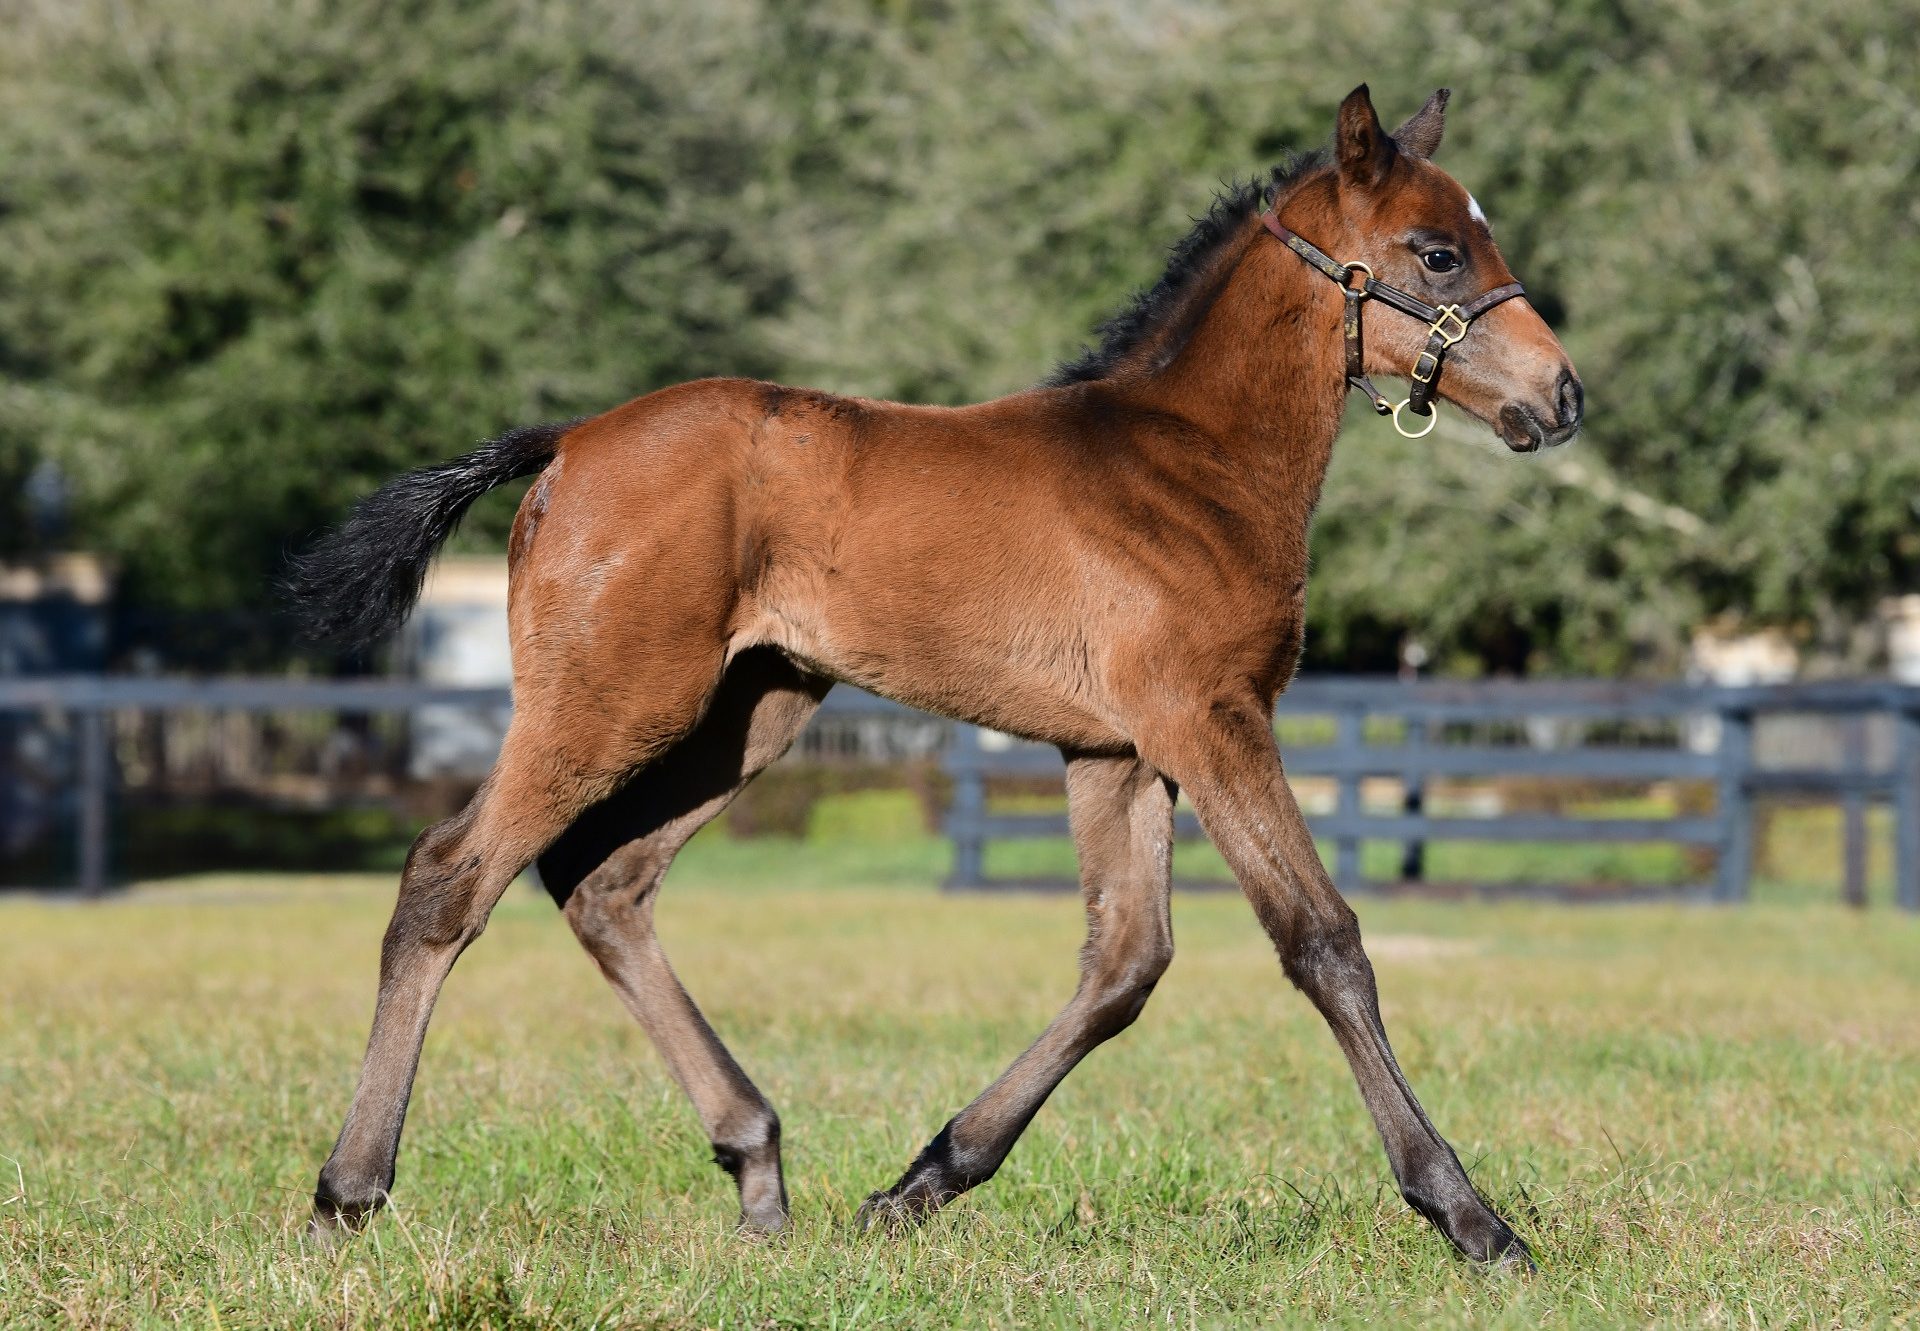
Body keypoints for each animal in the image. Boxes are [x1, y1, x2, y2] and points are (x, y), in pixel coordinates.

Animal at [287, 85, 1582, 1268]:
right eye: (1437, 249)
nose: (1562, 396)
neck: (1190, 462)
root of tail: (568, 442)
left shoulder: (1115, 750)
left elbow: (1126, 963)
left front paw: (919, 1183)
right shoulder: (1208, 720)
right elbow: (1322, 939)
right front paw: (1472, 1217)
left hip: (750, 711)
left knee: (605, 882)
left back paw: (759, 1168)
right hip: (612, 701)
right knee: (451, 876)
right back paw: (350, 1191)